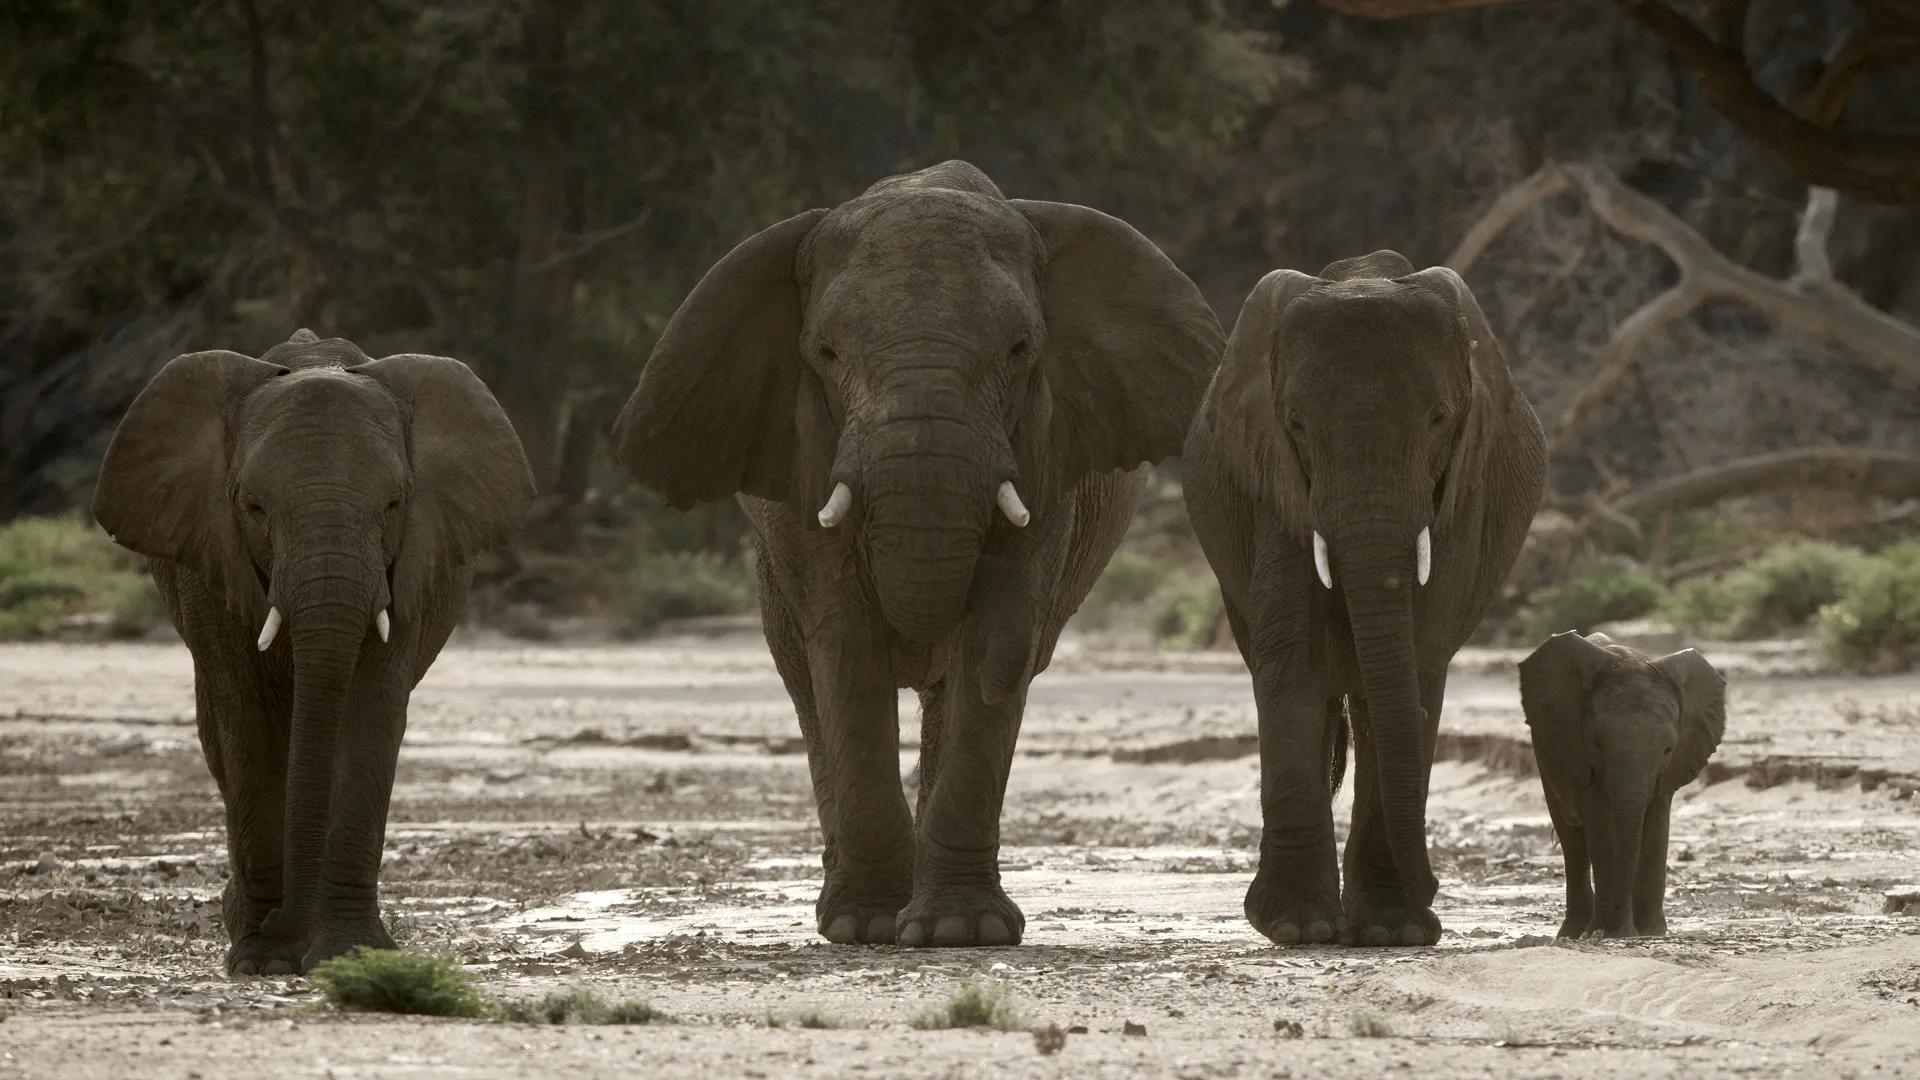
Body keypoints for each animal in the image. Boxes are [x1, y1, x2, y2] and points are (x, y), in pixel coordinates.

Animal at [92, 329, 535, 974]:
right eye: (253, 507)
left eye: (395, 505)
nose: (289, 928)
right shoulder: (213, 567)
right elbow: (248, 722)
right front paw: (264, 960)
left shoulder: (408, 572)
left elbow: (371, 716)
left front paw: (349, 952)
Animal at [612, 160, 1222, 947]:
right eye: (826, 354)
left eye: (1020, 351)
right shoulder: (808, 458)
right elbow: (845, 644)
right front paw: (865, 925)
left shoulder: (1047, 457)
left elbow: (987, 647)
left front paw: (960, 932)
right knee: (805, 678)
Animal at [1182, 250, 1547, 947]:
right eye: (1297, 424)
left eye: (1439, 419)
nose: (1435, 888)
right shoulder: (1277, 486)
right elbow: (1295, 656)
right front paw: (1297, 928)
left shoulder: (1460, 495)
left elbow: (1418, 657)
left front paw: (1392, 931)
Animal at [1519, 630, 1726, 939]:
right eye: (1598, 743)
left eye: (1667, 750)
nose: (1623, 931)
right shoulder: (1579, 752)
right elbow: (1601, 827)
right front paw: (1610, 932)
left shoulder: (1669, 769)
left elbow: (1656, 828)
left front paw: (1651, 933)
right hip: (1546, 753)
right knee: (1573, 842)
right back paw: (1574, 932)